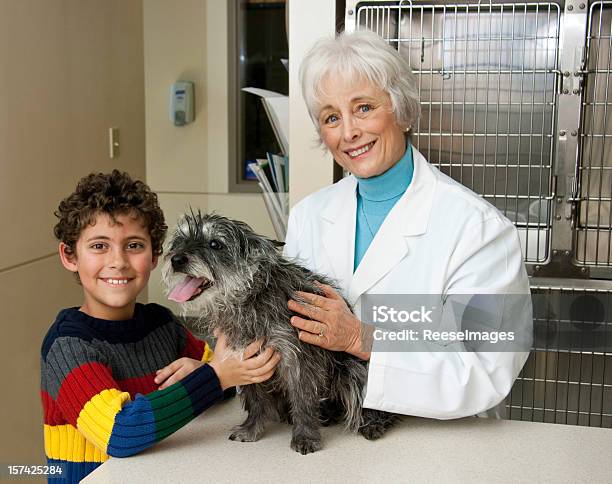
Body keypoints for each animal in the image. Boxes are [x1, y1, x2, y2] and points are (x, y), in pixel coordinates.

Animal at [163, 212, 396, 454]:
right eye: (181, 240)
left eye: (215, 244)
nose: (176, 259)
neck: (250, 298)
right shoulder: (245, 358)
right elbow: (255, 400)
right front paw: (251, 429)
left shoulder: (298, 360)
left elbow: (303, 401)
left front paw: (305, 436)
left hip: (353, 371)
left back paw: (372, 422)